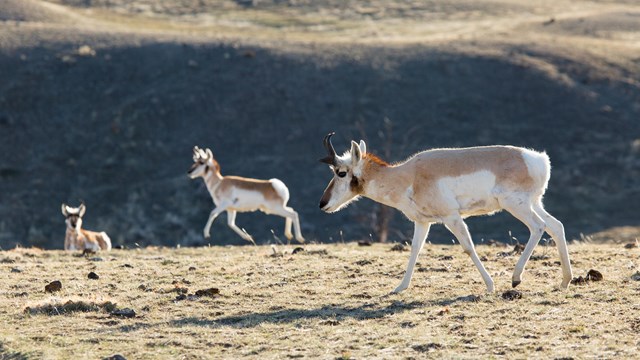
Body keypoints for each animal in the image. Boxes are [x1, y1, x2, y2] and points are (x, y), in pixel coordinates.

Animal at [320, 132, 576, 292]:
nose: (322, 204)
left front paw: (490, 285)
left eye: (341, 172)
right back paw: (565, 281)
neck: (408, 175)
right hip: (534, 203)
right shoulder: (423, 223)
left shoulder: (452, 218)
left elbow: (468, 247)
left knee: (538, 227)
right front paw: (399, 287)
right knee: (556, 226)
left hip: (516, 205)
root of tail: (538, 159)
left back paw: (515, 278)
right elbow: (415, 250)